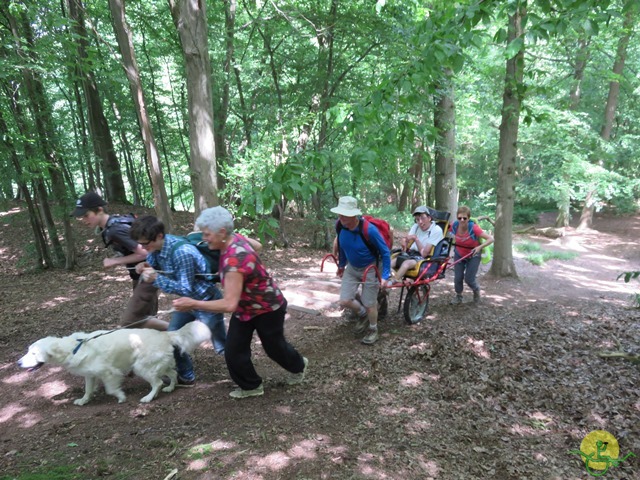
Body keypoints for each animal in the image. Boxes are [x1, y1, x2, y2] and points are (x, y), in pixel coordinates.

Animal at [17, 318, 211, 404]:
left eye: (34, 353)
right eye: (28, 351)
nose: (18, 363)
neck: (74, 348)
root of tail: (165, 334)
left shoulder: (109, 372)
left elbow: (111, 389)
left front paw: (120, 397)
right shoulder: (90, 374)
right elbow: (88, 389)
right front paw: (83, 400)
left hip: (141, 366)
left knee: (157, 383)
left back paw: (148, 397)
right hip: (156, 364)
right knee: (172, 372)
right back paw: (170, 387)